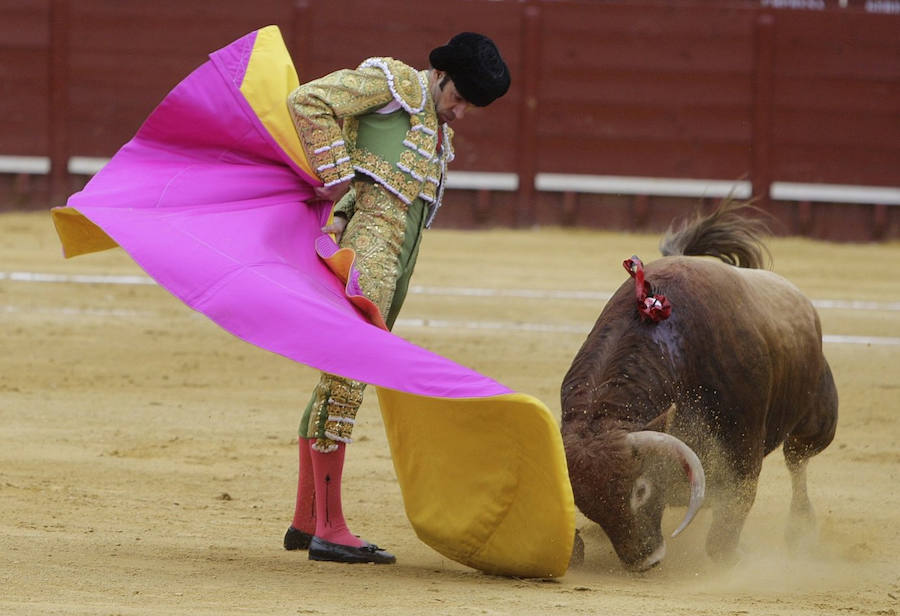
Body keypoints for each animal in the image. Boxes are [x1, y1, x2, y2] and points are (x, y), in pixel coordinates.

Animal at [564, 203, 836, 572]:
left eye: (640, 490)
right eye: (584, 503)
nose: (645, 561)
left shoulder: (742, 448)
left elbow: (731, 515)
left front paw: (736, 555)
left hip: (818, 421)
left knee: (798, 461)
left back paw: (800, 530)